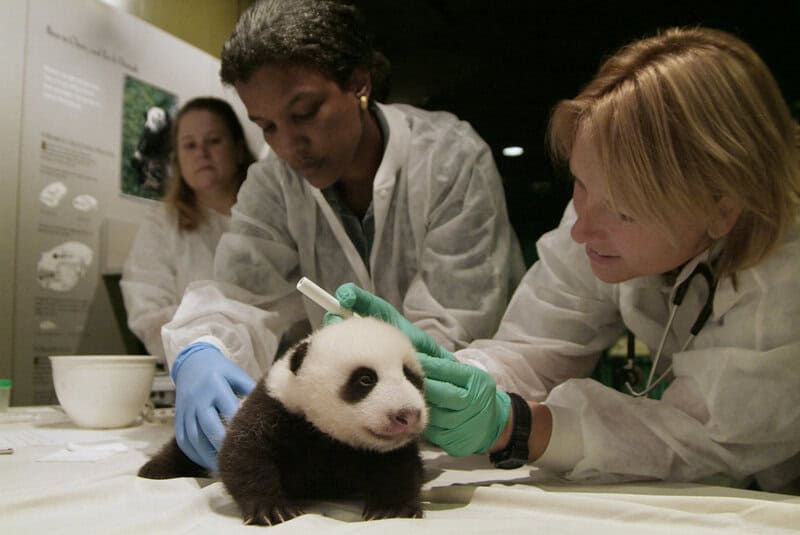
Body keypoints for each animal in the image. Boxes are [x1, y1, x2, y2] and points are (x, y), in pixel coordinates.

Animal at [138, 317, 428, 525]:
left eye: (411, 376)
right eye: (366, 379)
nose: (408, 415)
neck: (327, 434)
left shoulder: (380, 450)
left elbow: (398, 466)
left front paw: (392, 508)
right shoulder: (275, 409)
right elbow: (243, 454)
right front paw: (272, 509)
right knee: (184, 449)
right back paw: (155, 470)